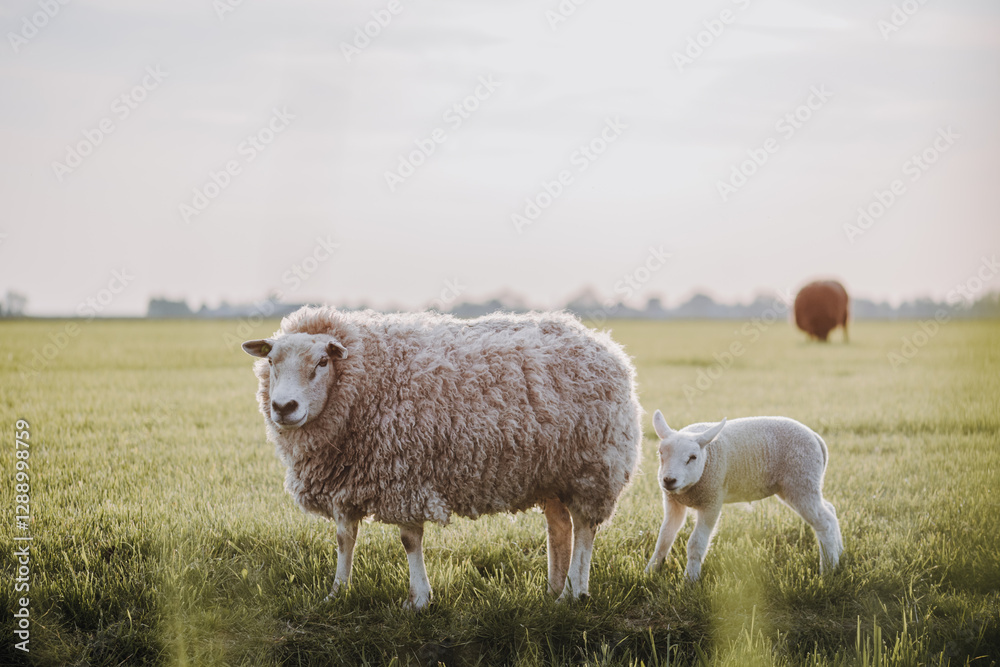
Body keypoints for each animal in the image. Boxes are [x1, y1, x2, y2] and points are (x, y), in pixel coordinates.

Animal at [242, 306, 642, 609]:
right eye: (272, 361)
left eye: (323, 361)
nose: (283, 407)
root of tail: (606, 344)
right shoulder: (347, 480)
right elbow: (344, 538)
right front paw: (337, 593)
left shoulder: (403, 475)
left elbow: (409, 539)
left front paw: (418, 599)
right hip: (551, 473)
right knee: (560, 527)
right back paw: (554, 591)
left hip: (592, 468)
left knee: (585, 528)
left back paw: (575, 591)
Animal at [645, 410, 842, 581]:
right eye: (661, 453)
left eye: (692, 457)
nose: (669, 480)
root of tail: (815, 437)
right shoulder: (673, 502)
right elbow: (664, 538)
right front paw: (650, 571)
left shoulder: (712, 500)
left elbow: (696, 543)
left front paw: (690, 580)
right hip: (800, 486)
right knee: (830, 511)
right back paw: (839, 555)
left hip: (801, 480)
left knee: (825, 522)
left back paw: (828, 570)